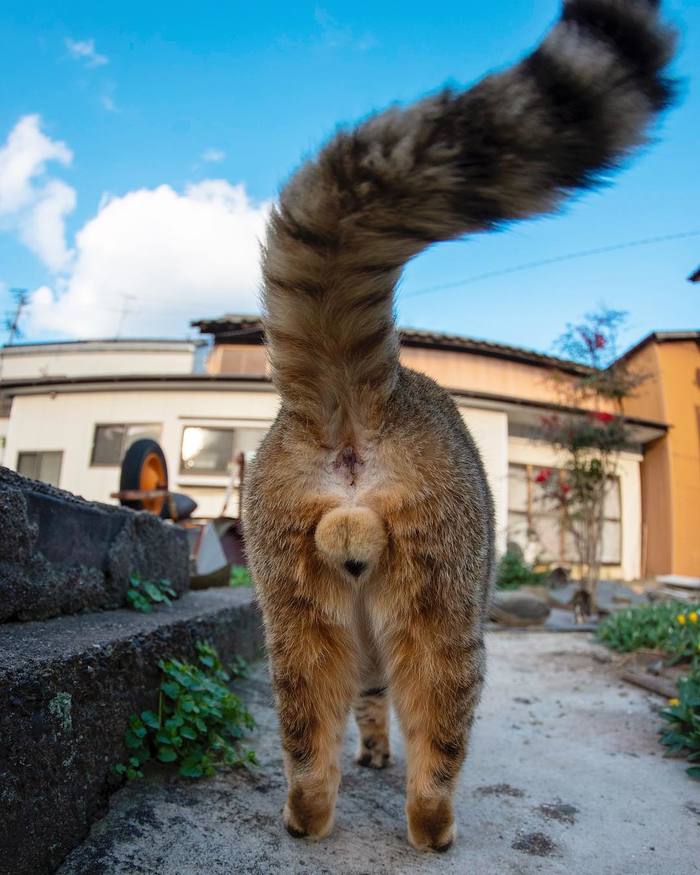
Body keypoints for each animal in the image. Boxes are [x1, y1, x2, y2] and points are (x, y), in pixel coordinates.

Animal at [243, 0, 676, 848]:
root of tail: (364, 396)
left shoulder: (356, 661)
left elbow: (364, 709)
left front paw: (370, 747)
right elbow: (387, 713)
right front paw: (384, 751)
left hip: (294, 608)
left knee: (307, 727)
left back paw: (308, 810)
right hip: (449, 599)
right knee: (440, 722)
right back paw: (432, 818)